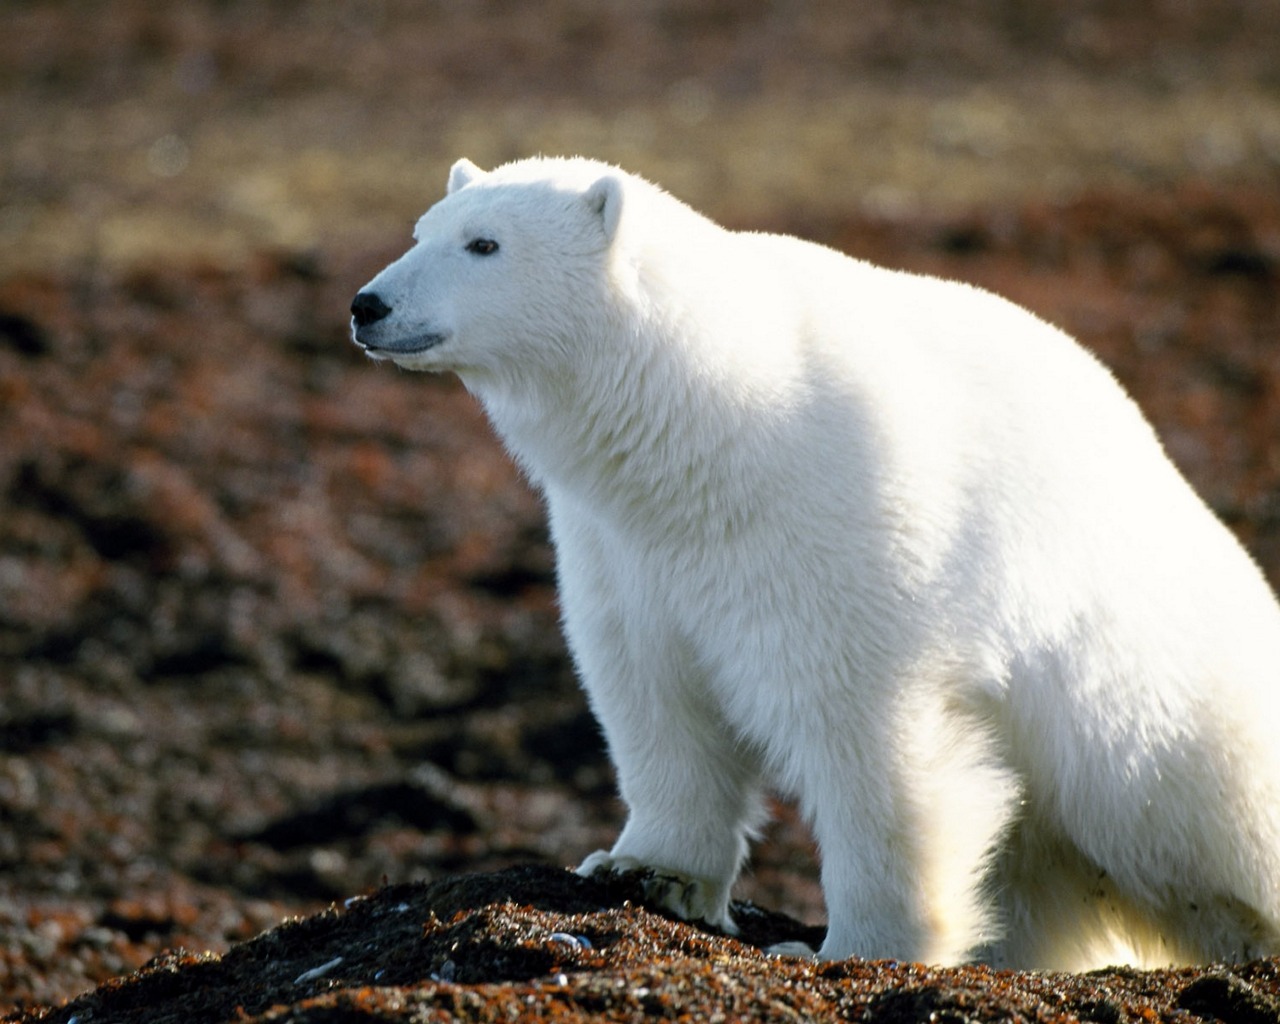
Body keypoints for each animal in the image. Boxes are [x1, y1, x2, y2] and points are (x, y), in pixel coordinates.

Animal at [350, 156, 1280, 972]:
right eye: (422, 229)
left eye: (485, 244)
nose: (367, 303)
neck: (715, 432)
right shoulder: (620, 548)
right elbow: (652, 694)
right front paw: (644, 870)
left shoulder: (839, 526)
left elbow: (870, 740)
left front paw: (852, 948)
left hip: (1158, 709)